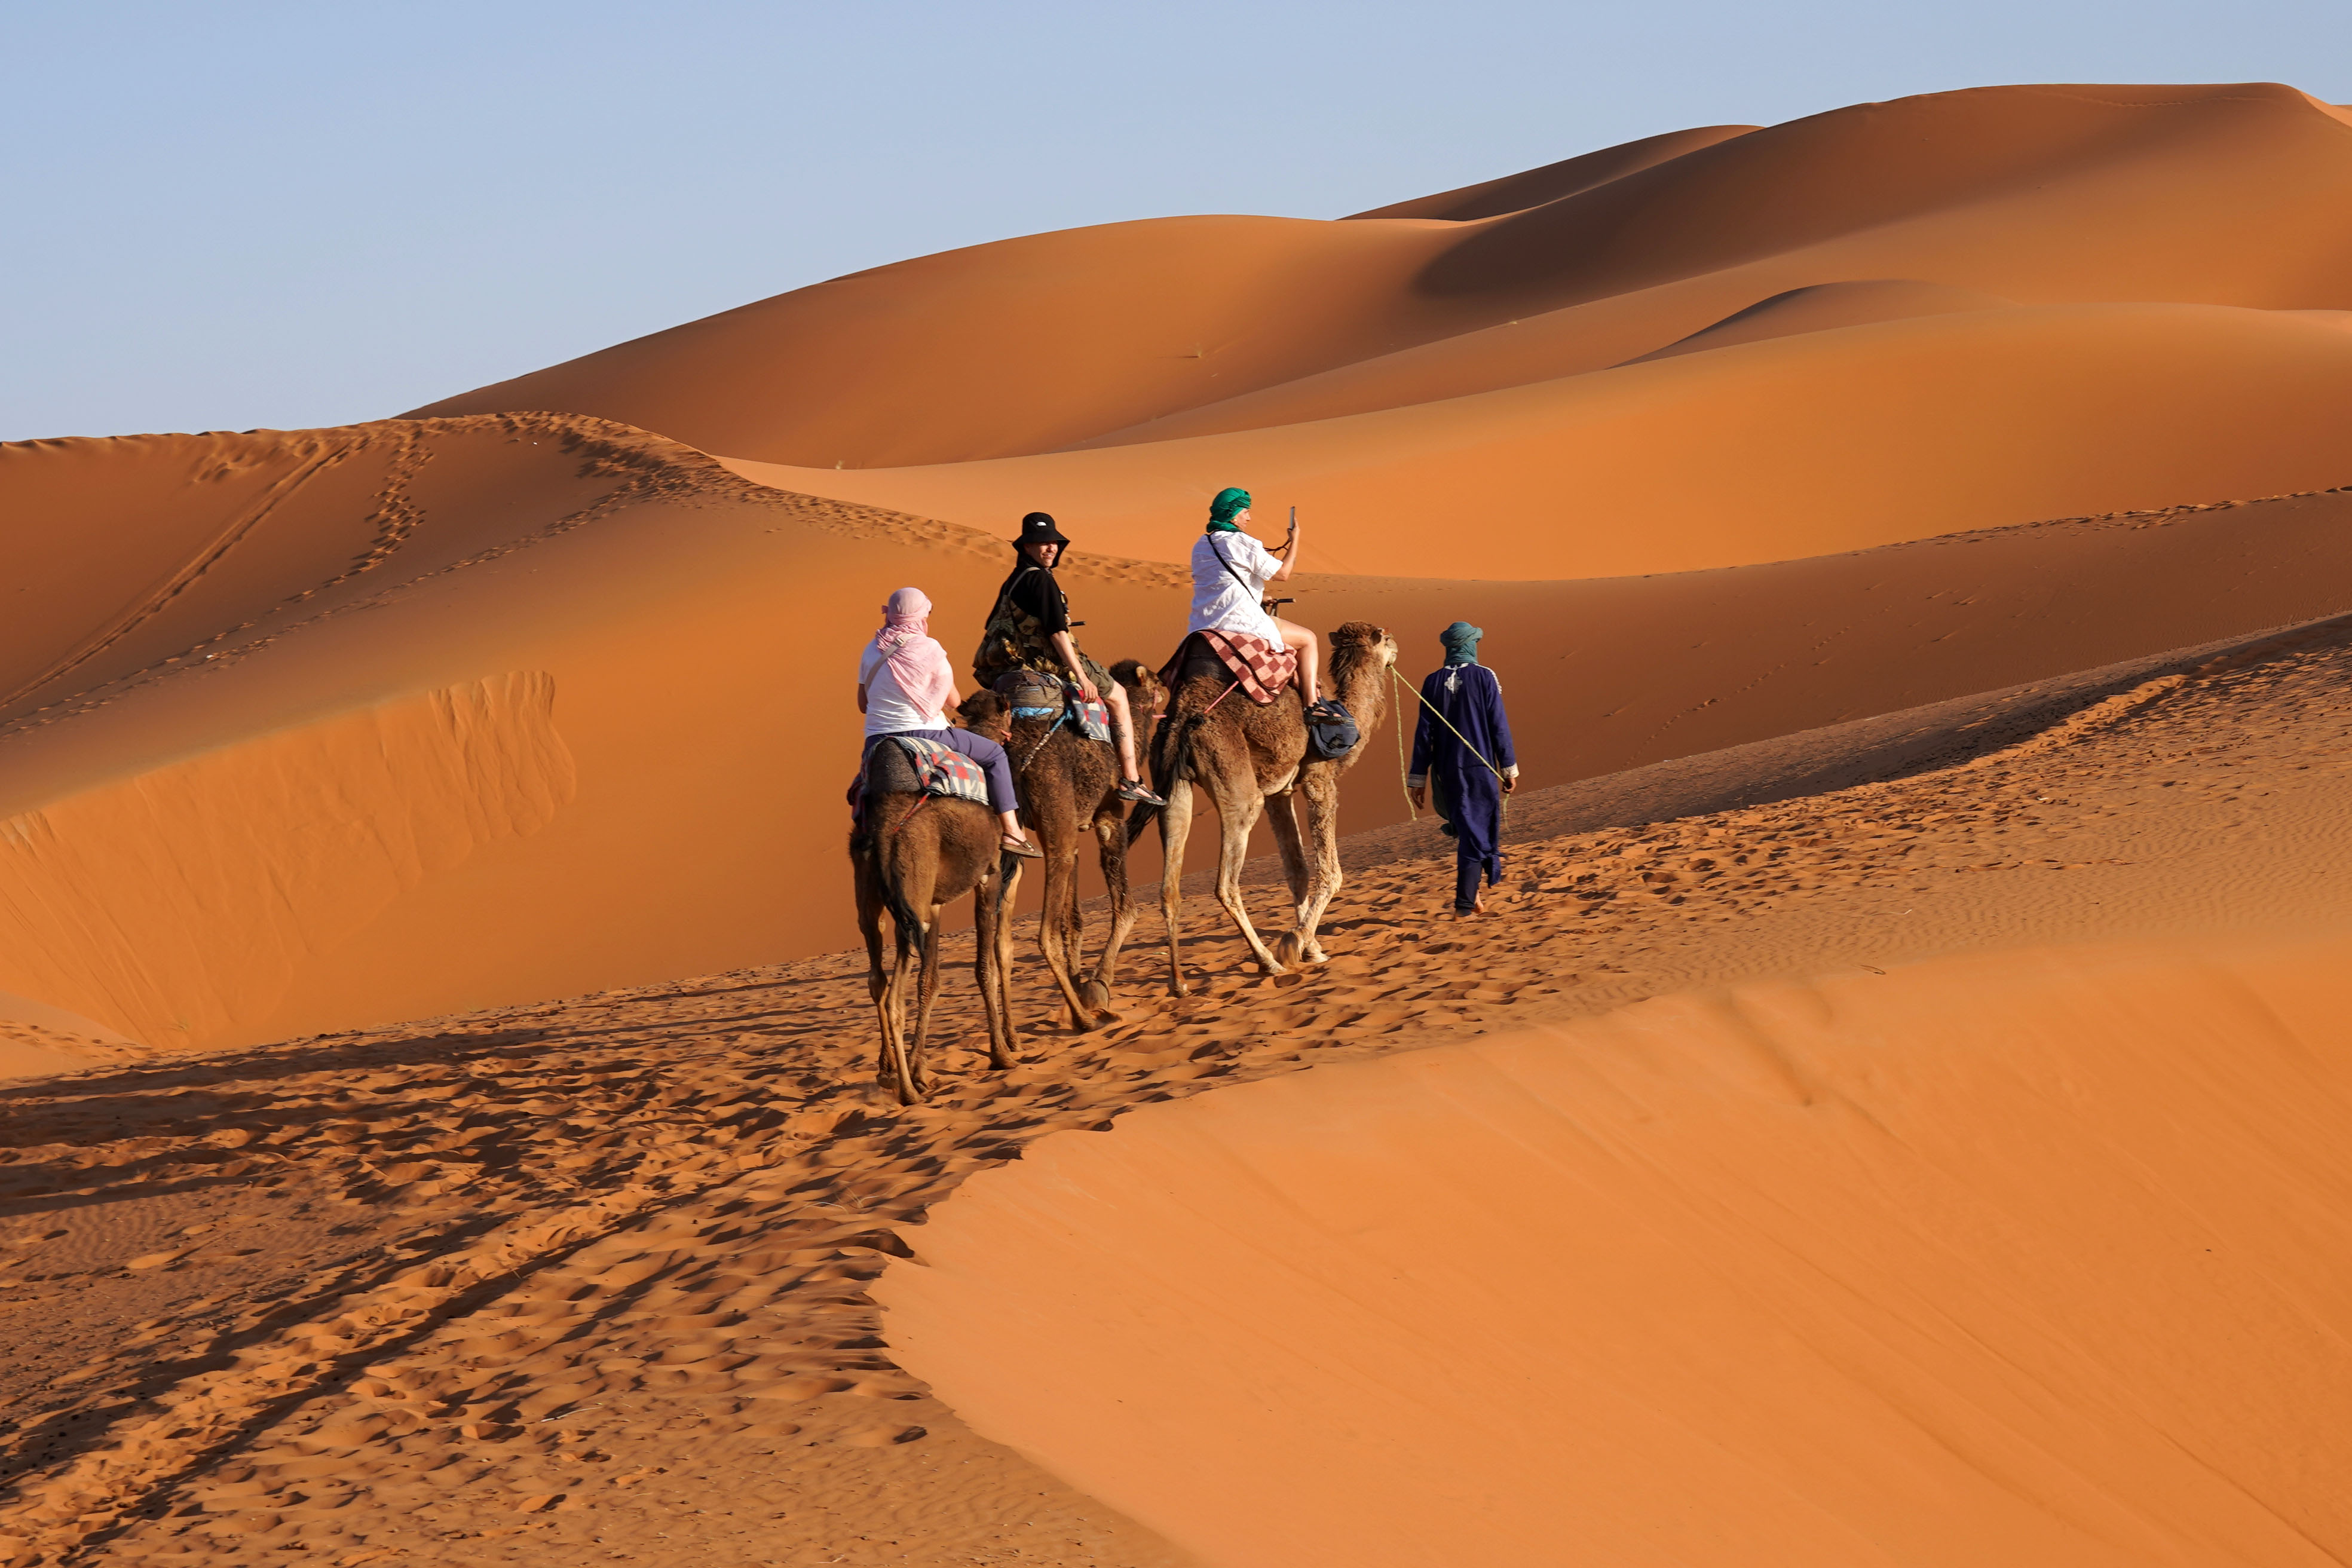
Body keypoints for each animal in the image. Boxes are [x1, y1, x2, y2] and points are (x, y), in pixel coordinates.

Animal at [856, 724, 1021, 1104]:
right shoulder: (989, 878)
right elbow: (988, 965)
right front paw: (1002, 1053)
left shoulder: (934, 904)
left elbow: (929, 981)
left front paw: (921, 1070)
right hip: (912, 898)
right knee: (894, 998)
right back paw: (906, 1093)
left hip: (873, 899)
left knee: (877, 978)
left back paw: (887, 1072)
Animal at [964, 667, 1166, 1034]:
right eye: (1156, 683)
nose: (1165, 682)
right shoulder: (1109, 814)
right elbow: (1125, 908)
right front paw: (1097, 987)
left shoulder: (1073, 830)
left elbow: (1074, 923)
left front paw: (1081, 985)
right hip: (1054, 814)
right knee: (1045, 936)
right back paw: (1085, 1021)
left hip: (1006, 836)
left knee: (994, 948)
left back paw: (1009, 1041)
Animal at [1138, 620, 1392, 992]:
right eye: (1386, 638)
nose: (1396, 649)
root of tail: (1183, 717)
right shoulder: (1319, 780)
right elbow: (1331, 873)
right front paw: (1294, 941)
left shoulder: (1279, 793)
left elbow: (1297, 870)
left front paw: (1311, 948)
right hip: (1239, 790)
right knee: (1226, 884)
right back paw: (1268, 962)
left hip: (1172, 789)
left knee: (1169, 888)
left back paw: (1179, 983)